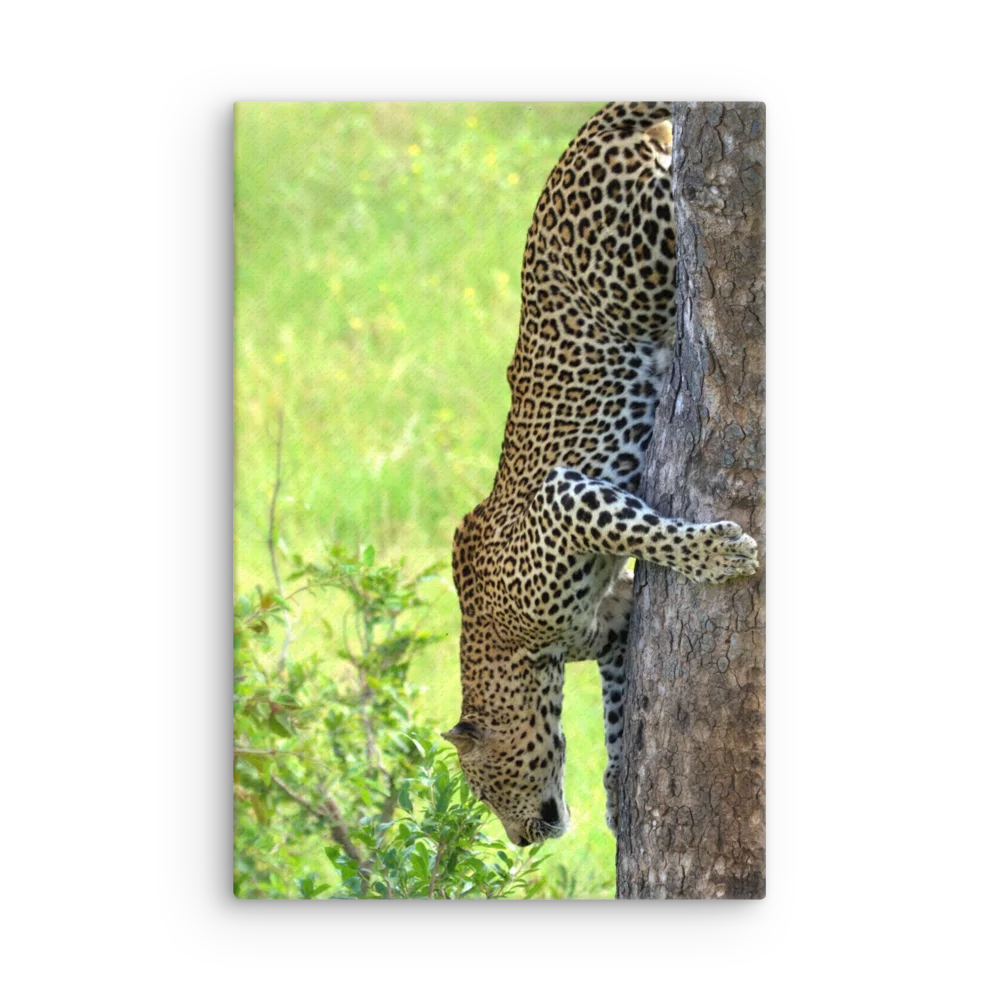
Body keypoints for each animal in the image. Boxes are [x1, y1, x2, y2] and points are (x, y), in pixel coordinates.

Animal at [444, 101, 759, 847]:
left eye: (482, 791)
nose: (519, 841)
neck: (516, 652)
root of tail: (582, 137)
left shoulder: (562, 498)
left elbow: (645, 529)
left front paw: (719, 554)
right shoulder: (615, 626)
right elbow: (620, 707)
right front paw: (619, 791)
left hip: (644, 250)